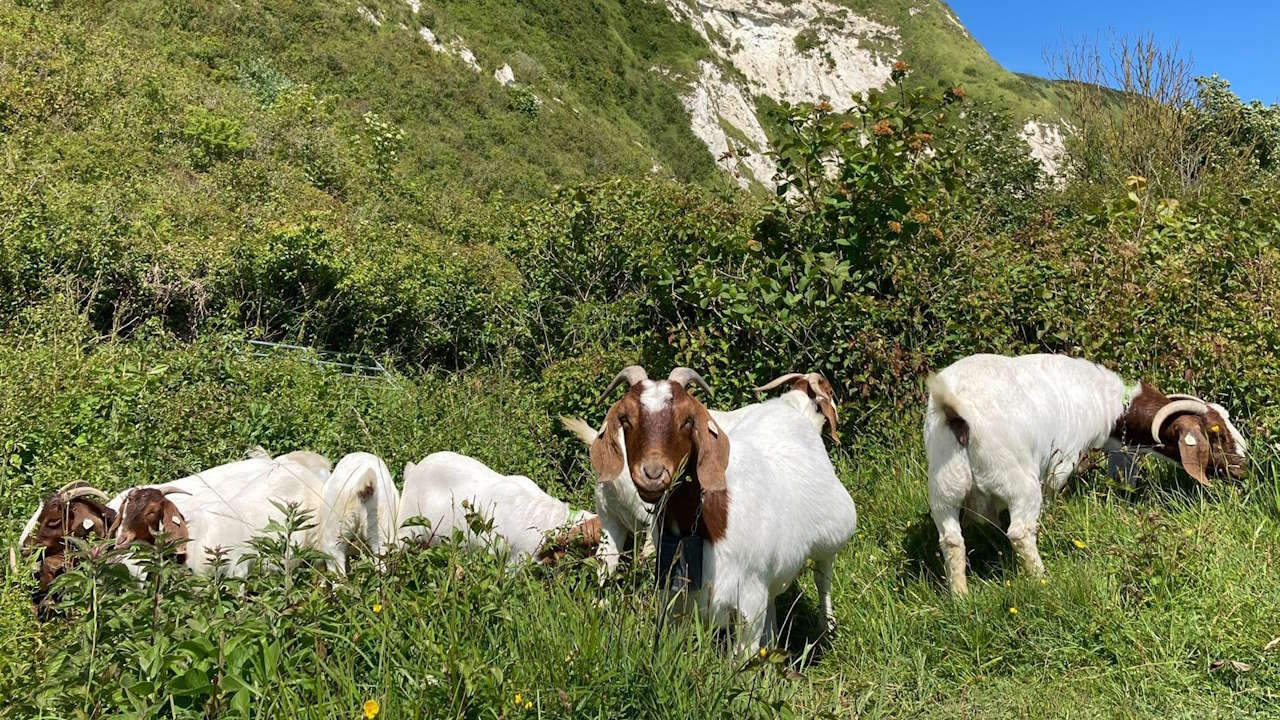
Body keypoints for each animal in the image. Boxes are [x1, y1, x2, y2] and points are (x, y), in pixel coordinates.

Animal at [586, 366, 855, 648]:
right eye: (625, 418)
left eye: (688, 419)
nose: (652, 473)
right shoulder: (673, 602)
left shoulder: (748, 603)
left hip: (829, 540)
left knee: (823, 578)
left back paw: (827, 626)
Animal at [926, 353, 1244, 594]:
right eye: (1215, 432)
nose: (1243, 464)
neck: (1109, 403)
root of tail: (956, 413)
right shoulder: (1062, 462)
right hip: (1016, 480)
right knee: (1020, 532)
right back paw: (1042, 579)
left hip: (944, 486)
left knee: (951, 540)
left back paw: (961, 596)